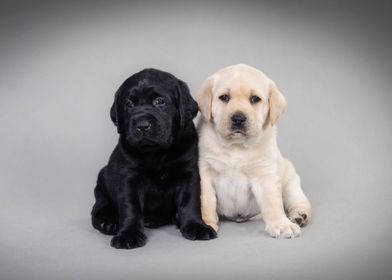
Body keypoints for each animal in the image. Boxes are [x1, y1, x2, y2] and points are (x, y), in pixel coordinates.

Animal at [91, 69, 216, 248]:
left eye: (160, 101)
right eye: (129, 104)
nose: (142, 125)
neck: (157, 153)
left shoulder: (189, 174)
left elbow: (190, 201)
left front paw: (196, 226)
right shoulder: (130, 178)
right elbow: (131, 207)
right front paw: (128, 234)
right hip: (102, 186)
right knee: (99, 208)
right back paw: (108, 222)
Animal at [198, 64, 310, 238]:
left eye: (255, 99)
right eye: (224, 97)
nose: (238, 118)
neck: (236, 146)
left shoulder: (264, 174)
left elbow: (272, 202)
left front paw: (281, 224)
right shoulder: (205, 173)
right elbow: (207, 202)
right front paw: (206, 224)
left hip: (291, 181)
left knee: (298, 200)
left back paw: (299, 215)